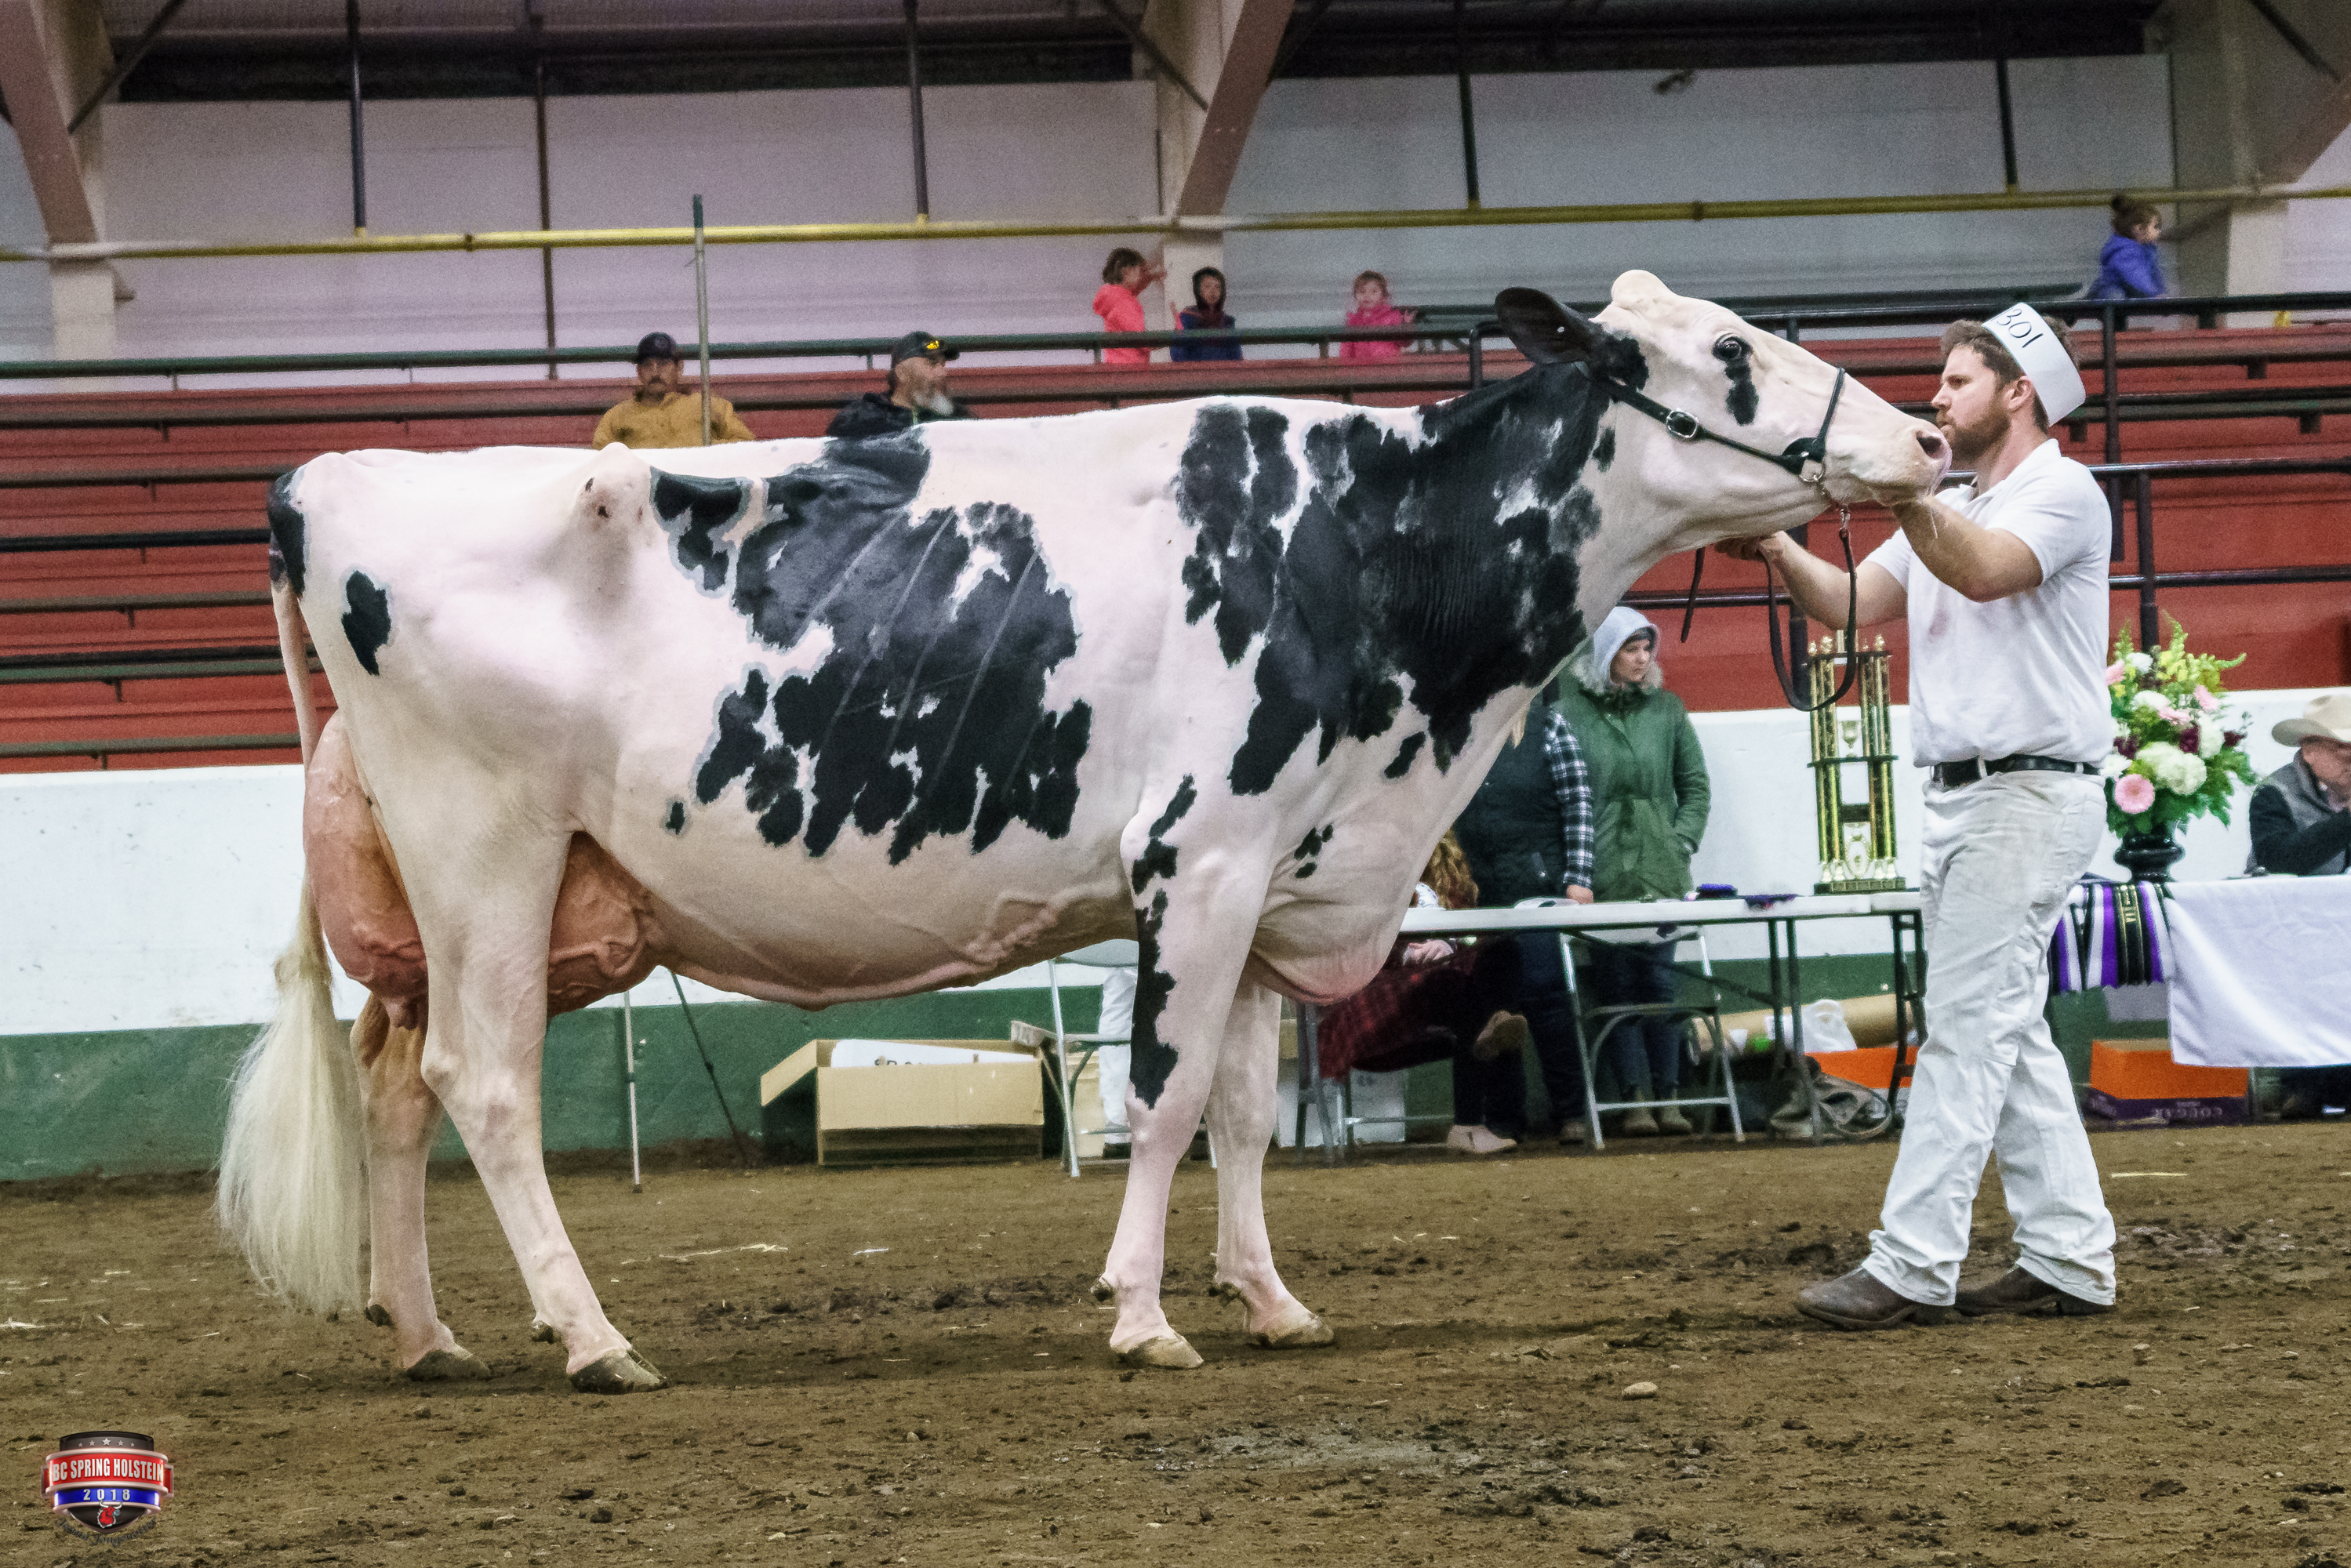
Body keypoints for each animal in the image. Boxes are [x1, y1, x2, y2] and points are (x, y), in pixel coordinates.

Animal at [217, 272, 1947, 1391]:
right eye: (1727, 348)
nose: (1928, 437)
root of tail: (322, 475)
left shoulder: (1278, 877)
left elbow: (1245, 1112)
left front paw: (1269, 1301)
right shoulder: (1202, 857)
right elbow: (1167, 1099)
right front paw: (1138, 1313)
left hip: (464, 898)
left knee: (391, 1082)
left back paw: (425, 1332)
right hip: (486, 857)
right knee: (486, 1087)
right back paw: (589, 1338)